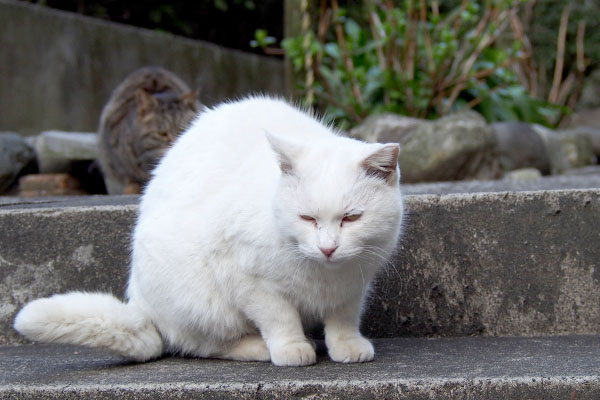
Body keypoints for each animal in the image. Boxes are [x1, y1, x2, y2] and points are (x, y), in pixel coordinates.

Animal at [14, 96, 406, 366]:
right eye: (307, 218)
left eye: (351, 218)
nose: (327, 248)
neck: (324, 275)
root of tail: (141, 306)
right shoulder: (248, 280)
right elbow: (279, 317)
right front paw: (291, 347)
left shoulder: (354, 284)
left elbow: (343, 317)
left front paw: (346, 345)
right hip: (201, 298)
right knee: (203, 344)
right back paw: (258, 347)